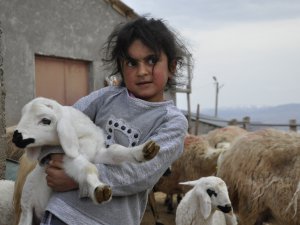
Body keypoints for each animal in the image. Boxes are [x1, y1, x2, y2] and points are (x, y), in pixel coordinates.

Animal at [12, 97, 161, 225]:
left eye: (45, 121)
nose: (16, 137)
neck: (82, 136)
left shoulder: (97, 154)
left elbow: (116, 150)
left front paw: (143, 151)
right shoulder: (67, 158)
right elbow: (88, 168)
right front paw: (99, 191)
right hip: (26, 206)